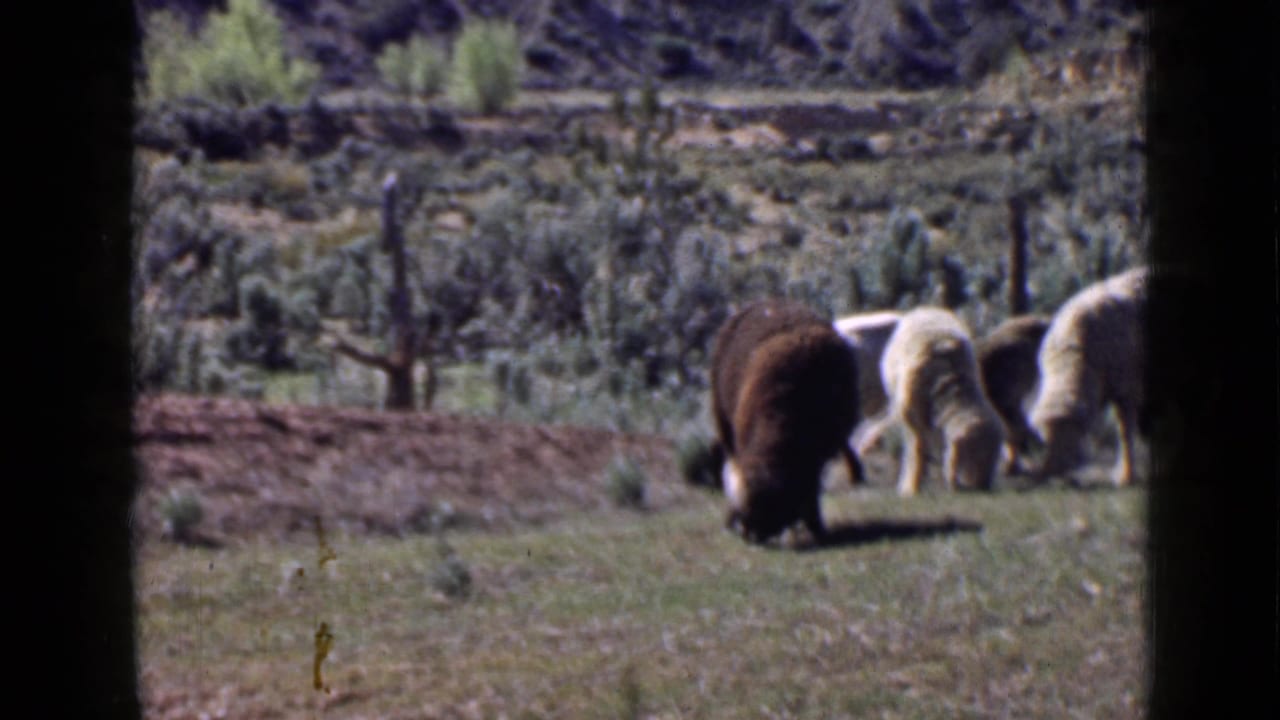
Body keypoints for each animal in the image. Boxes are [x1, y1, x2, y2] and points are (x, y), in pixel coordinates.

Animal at [710, 299, 863, 545]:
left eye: (774, 507)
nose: (749, 535)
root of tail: (766, 302)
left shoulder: (819, 453)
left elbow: (811, 488)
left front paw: (816, 526)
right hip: (725, 427)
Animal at [881, 307, 1006, 496]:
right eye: (973, 454)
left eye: (993, 456)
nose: (982, 487)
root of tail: (927, 308)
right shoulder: (912, 417)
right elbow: (916, 449)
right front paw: (911, 487)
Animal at [1029, 266, 1148, 487]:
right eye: (1044, 441)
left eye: (1070, 438)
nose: (1053, 474)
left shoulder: (1125, 389)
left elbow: (1124, 432)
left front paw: (1126, 476)